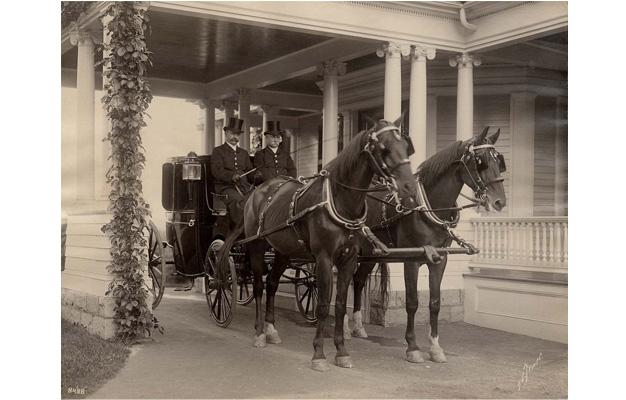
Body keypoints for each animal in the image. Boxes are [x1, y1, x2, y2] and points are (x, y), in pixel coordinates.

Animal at [348, 126, 504, 364]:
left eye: (499, 160)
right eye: (481, 162)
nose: (500, 201)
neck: (429, 207)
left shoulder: (440, 259)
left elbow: (435, 303)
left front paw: (435, 348)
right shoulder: (411, 260)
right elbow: (412, 302)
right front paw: (412, 347)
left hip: (371, 254)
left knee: (358, 281)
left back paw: (357, 326)